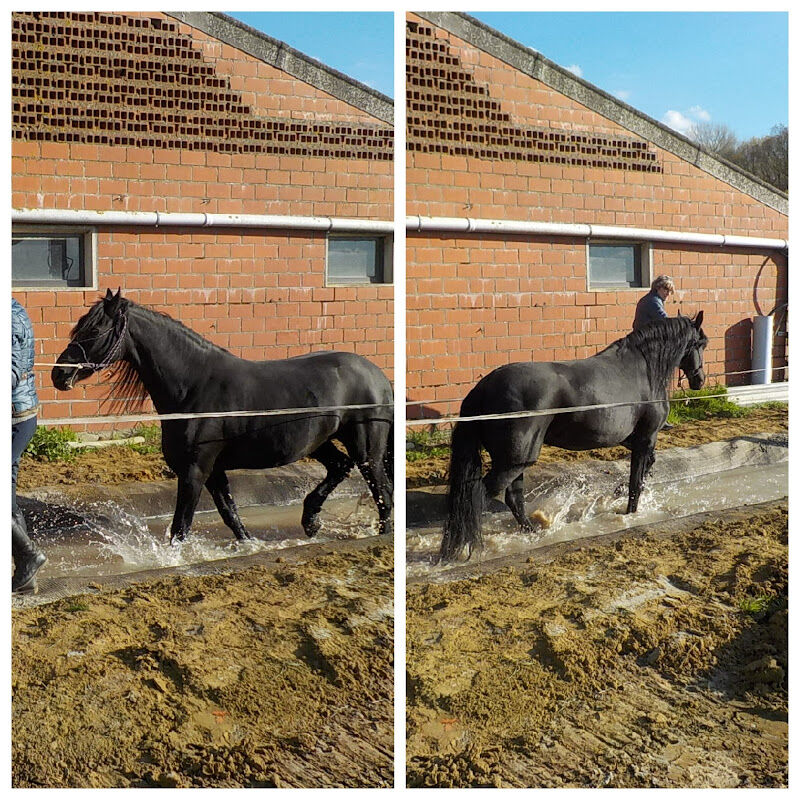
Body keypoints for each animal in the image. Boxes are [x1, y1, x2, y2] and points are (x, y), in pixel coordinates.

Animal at [50, 292, 394, 544]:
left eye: (95, 330)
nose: (59, 374)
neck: (194, 386)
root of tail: (378, 376)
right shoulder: (213, 471)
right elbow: (231, 515)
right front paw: (249, 545)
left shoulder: (195, 470)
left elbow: (181, 527)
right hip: (321, 442)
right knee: (340, 467)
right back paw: (310, 522)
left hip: (367, 450)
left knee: (383, 494)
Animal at [438, 312, 708, 564]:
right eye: (701, 343)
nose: (700, 379)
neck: (642, 370)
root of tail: (483, 388)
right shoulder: (645, 438)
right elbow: (636, 482)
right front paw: (629, 513)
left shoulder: (632, 440)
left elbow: (645, 469)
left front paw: (617, 492)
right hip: (512, 463)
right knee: (477, 498)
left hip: (516, 462)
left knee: (513, 499)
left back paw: (532, 533)